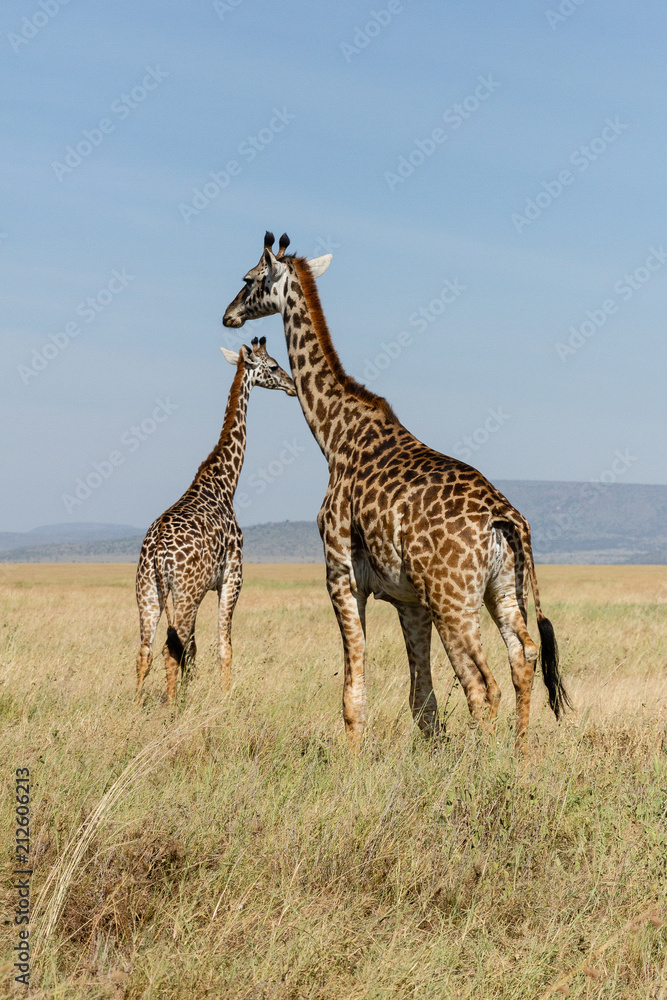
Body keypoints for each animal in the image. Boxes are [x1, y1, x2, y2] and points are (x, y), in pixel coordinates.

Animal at [135, 336, 296, 703]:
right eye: (274, 365)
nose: (293, 386)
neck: (224, 481)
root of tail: (158, 553)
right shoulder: (232, 577)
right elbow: (224, 646)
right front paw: (225, 698)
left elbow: (194, 650)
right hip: (184, 593)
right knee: (169, 649)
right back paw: (171, 707)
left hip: (148, 592)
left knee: (145, 652)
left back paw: (136, 705)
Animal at [223, 232, 571, 749]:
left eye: (249, 279)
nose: (228, 314)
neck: (334, 435)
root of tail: (504, 518)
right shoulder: (410, 601)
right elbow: (422, 701)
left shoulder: (341, 577)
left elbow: (354, 690)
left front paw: (352, 762)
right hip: (502, 590)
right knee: (522, 658)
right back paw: (521, 755)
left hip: (454, 599)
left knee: (481, 685)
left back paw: (489, 764)